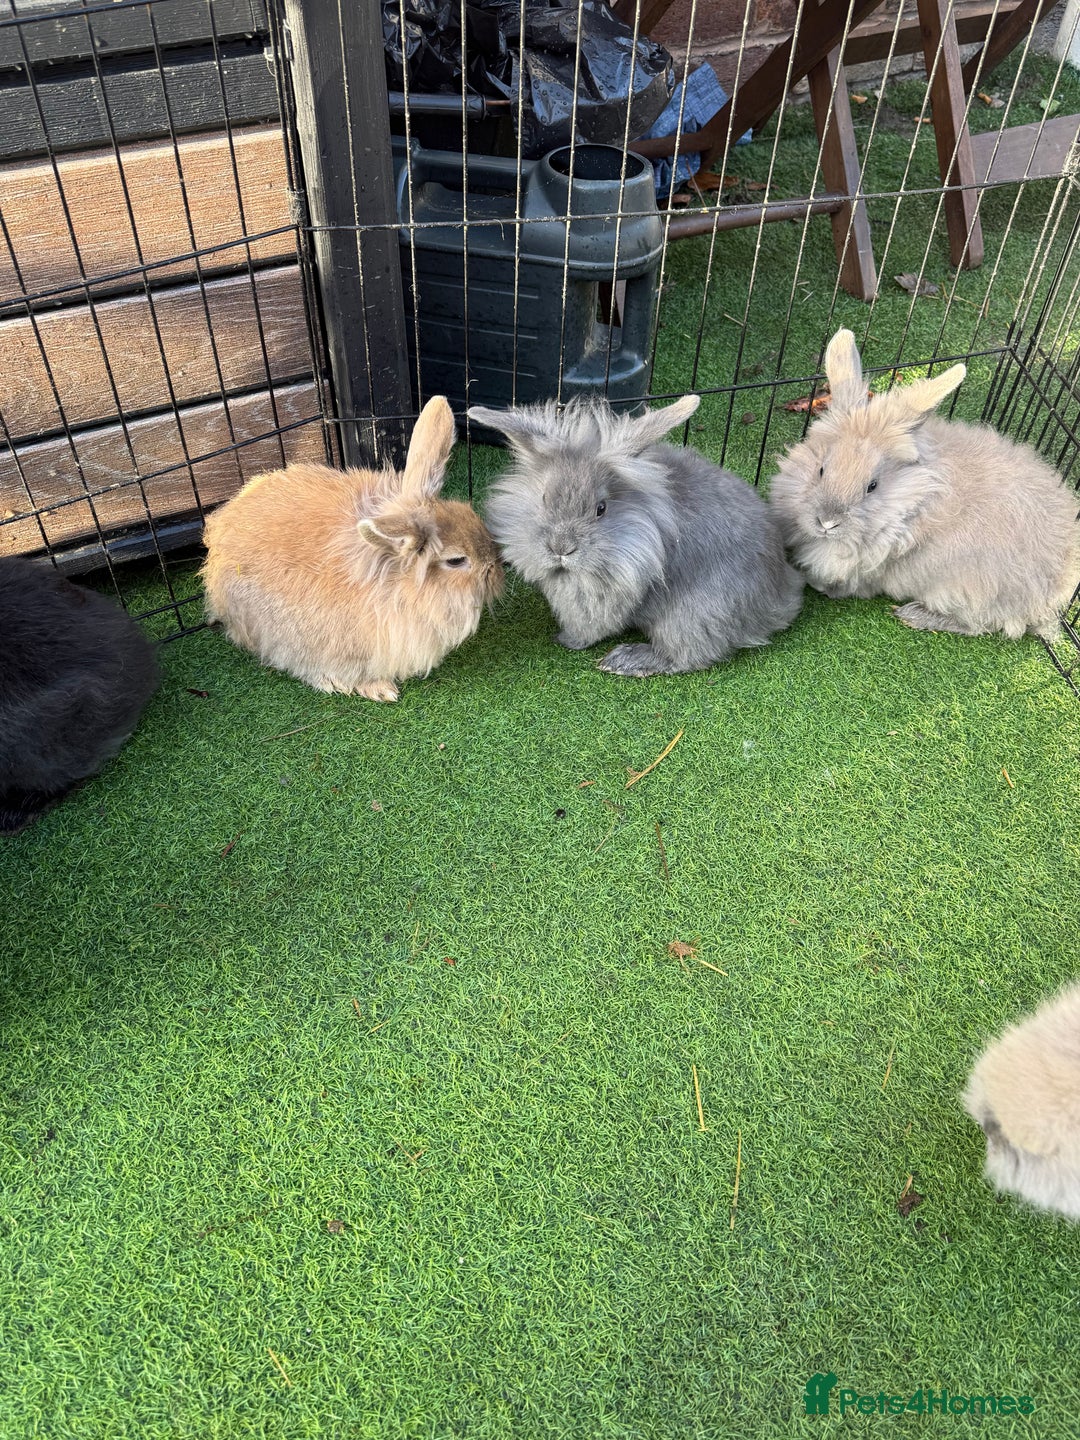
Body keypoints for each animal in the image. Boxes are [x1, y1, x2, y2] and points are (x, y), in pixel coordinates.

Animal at [467, 394, 805, 677]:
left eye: (601, 509)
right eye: (544, 498)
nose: (561, 548)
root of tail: (781, 596)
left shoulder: (600, 597)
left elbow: (590, 627)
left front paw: (567, 640)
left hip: (694, 616)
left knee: (686, 656)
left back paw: (625, 660)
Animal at [768, 328, 1080, 641]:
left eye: (872, 486)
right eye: (821, 469)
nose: (827, 522)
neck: (910, 498)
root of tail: (1060, 587)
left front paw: (818, 584)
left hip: (969, 591)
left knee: (983, 625)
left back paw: (914, 615)